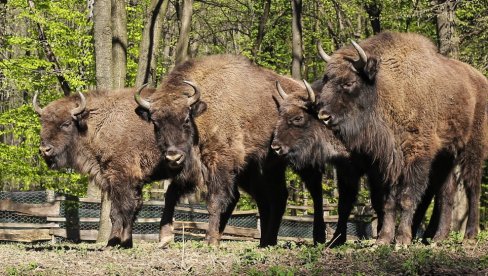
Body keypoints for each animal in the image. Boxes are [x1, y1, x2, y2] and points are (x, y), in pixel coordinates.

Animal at [33, 87, 166, 248]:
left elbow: (123, 210)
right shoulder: (123, 181)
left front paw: (119, 243)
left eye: (66, 123)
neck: (98, 124)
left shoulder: (122, 177)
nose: (45, 150)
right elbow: (125, 211)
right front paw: (119, 242)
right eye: (42, 123)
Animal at [135, 54, 330, 246]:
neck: (203, 110)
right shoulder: (193, 168)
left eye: (185, 119)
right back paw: (266, 241)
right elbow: (170, 194)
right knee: (274, 197)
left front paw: (210, 240)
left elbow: (215, 200)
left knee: (314, 190)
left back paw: (318, 237)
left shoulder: (220, 162)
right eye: (156, 123)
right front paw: (165, 237)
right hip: (264, 167)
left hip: (301, 161)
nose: (173, 156)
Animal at [314, 31, 486, 245]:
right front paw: (384, 239)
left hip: (473, 147)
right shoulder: (387, 162)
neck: (388, 88)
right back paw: (438, 237)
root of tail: (481, 79)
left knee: (472, 187)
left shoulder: (417, 155)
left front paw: (402, 238)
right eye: (326, 80)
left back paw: (470, 234)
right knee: (447, 191)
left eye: (349, 82)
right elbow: (388, 201)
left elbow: (407, 197)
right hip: (446, 155)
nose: (323, 115)